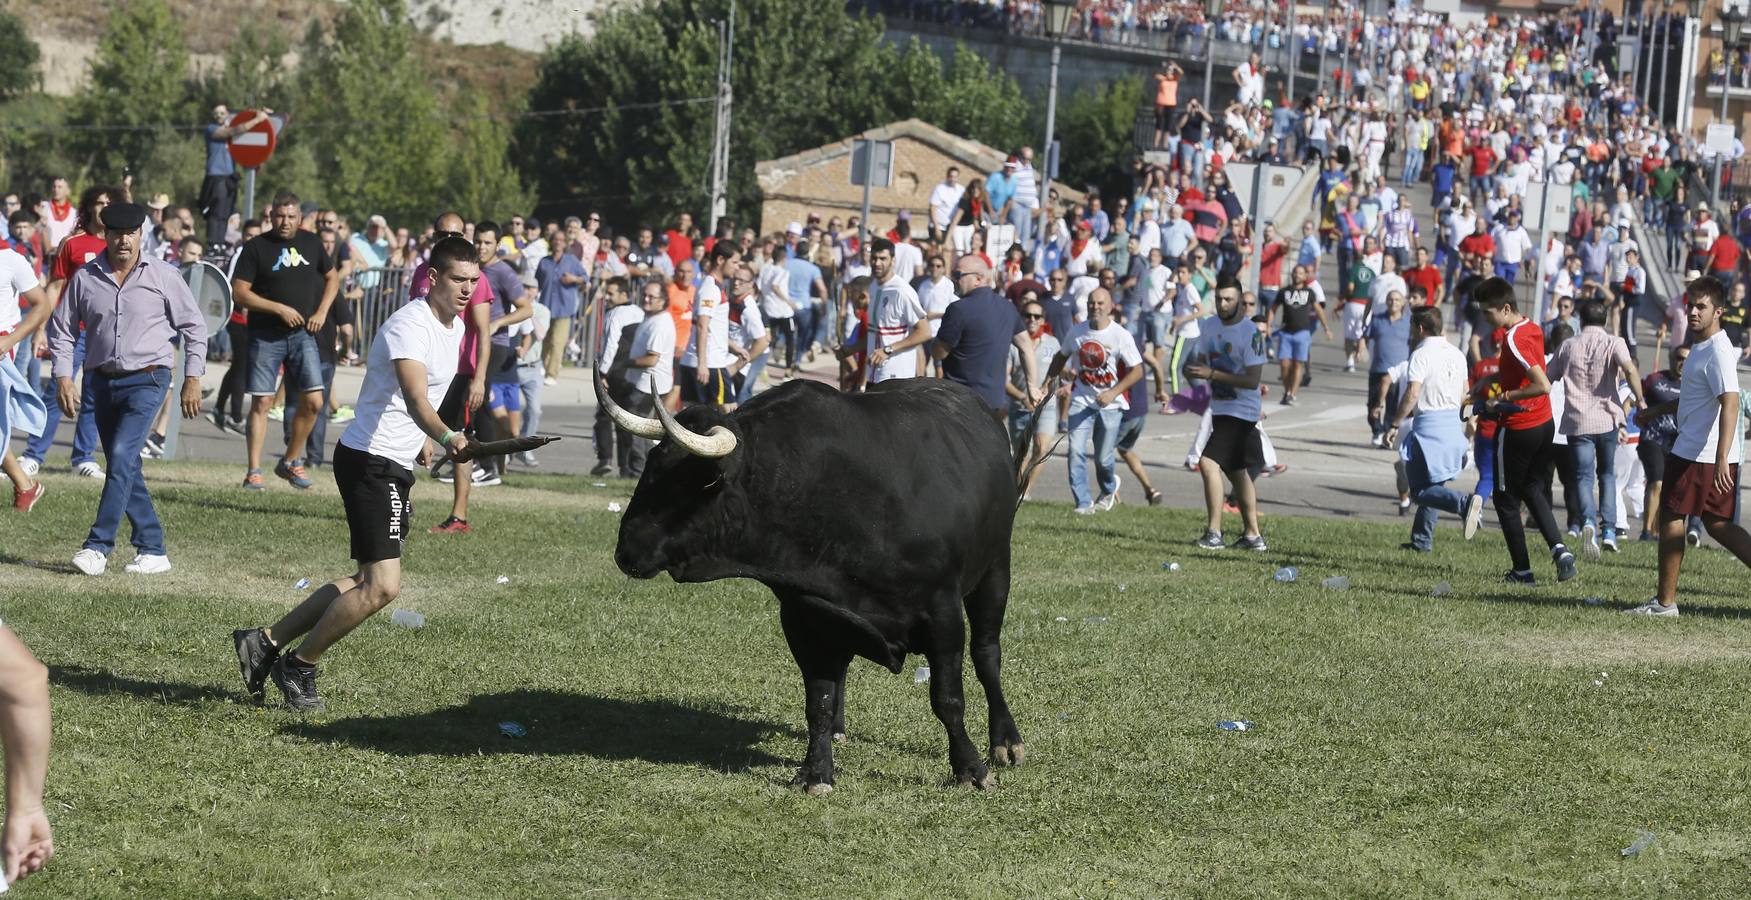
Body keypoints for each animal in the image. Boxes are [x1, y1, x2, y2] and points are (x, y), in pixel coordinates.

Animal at [612, 374, 1022, 787]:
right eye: (650, 465)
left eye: (688, 480)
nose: (625, 550)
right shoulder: (805, 616)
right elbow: (819, 699)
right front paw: (817, 771)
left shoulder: (942, 611)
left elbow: (948, 698)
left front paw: (970, 768)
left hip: (996, 567)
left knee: (987, 653)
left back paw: (1006, 740)